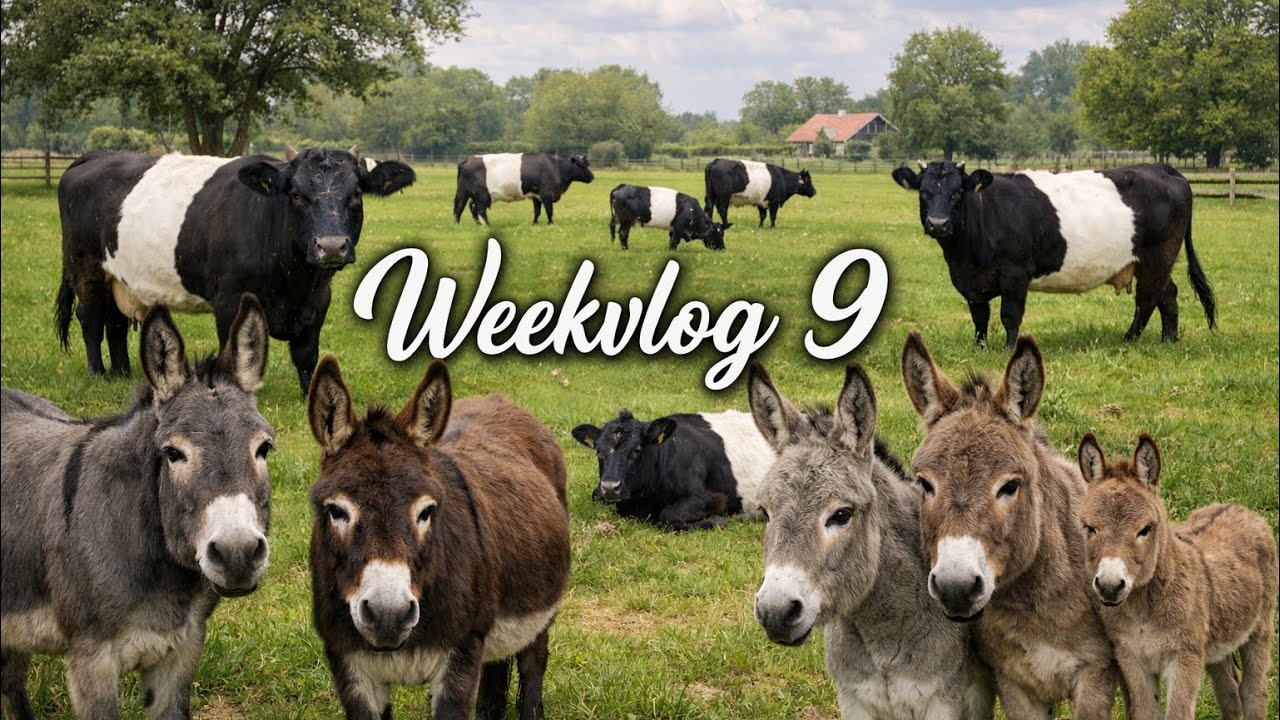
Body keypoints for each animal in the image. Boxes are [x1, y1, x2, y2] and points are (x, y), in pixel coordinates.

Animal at [55, 146, 415, 397]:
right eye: (296, 194)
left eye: (355, 195)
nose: (330, 246)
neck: (294, 282)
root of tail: (94, 156)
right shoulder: (228, 300)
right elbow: (233, 347)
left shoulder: (317, 301)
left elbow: (306, 354)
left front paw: (308, 397)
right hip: (85, 266)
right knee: (91, 318)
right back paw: (98, 373)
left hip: (120, 277)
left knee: (114, 322)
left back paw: (123, 374)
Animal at [453, 152, 594, 225]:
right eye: (582, 165)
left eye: (587, 164)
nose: (592, 177)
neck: (556, 168)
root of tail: (467, 160)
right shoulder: (547, 194)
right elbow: (549, 211)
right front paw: (551, 223)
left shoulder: (536, 196)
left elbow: (537, 211)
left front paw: (534, 223)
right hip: (476, 194)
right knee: (472, 208)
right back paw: (484, 225)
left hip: (472, 194)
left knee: (470, 207)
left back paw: (473, 224)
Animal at [571, 409, 776, 531]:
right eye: (599, 450)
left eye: (637, 449)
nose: (611, 487)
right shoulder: (600, 493)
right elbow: (596, 496)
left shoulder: (710, 497)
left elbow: (668, 515)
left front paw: (716, 520)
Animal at [891, 161, 1216, 348]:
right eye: (923, 192)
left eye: (958, 192)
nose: (938, 223)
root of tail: (1163, 168)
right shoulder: (971, 282)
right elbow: (980, 317)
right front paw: (979, 348)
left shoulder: (1015, 274)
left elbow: (1009, 315)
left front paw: (1008, 349)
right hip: (1154, 262)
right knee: (1167, 294)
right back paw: (1168, 340)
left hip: (1157, 255)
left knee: (1148, 299)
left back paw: (1128, 340)